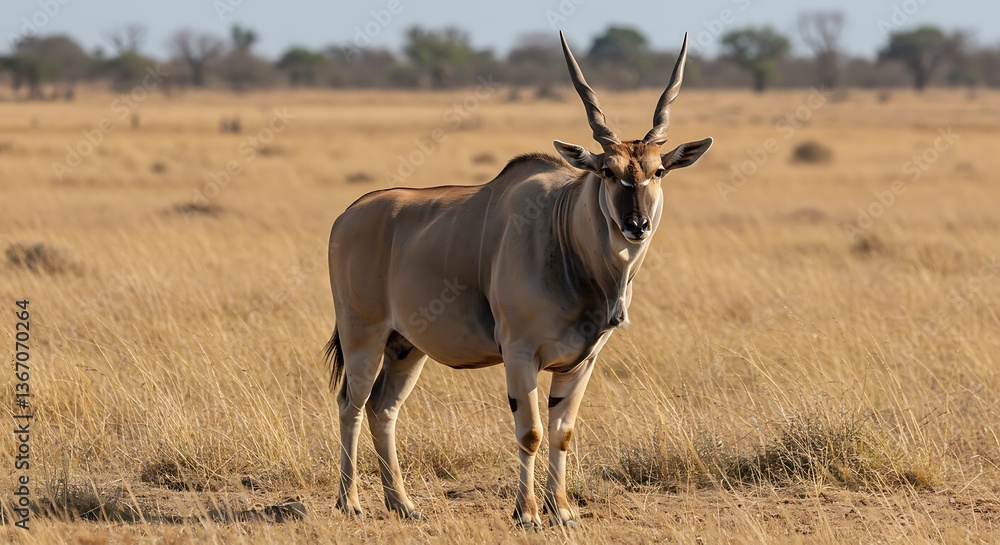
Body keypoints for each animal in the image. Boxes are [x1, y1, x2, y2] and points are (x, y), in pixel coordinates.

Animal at [324, 32, 712, 529]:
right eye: (607, 170)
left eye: (658, 170)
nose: (637, 225)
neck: (565, 238)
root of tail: (348, 214)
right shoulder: (520, 352)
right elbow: (530, 432)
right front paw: (527, 513)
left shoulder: (581, 361)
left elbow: (562, 432)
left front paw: (561, 510)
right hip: (363, 337)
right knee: (350, 405)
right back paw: (350, 502)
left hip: (405, 347)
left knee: (382, 409)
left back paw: (404, 505)